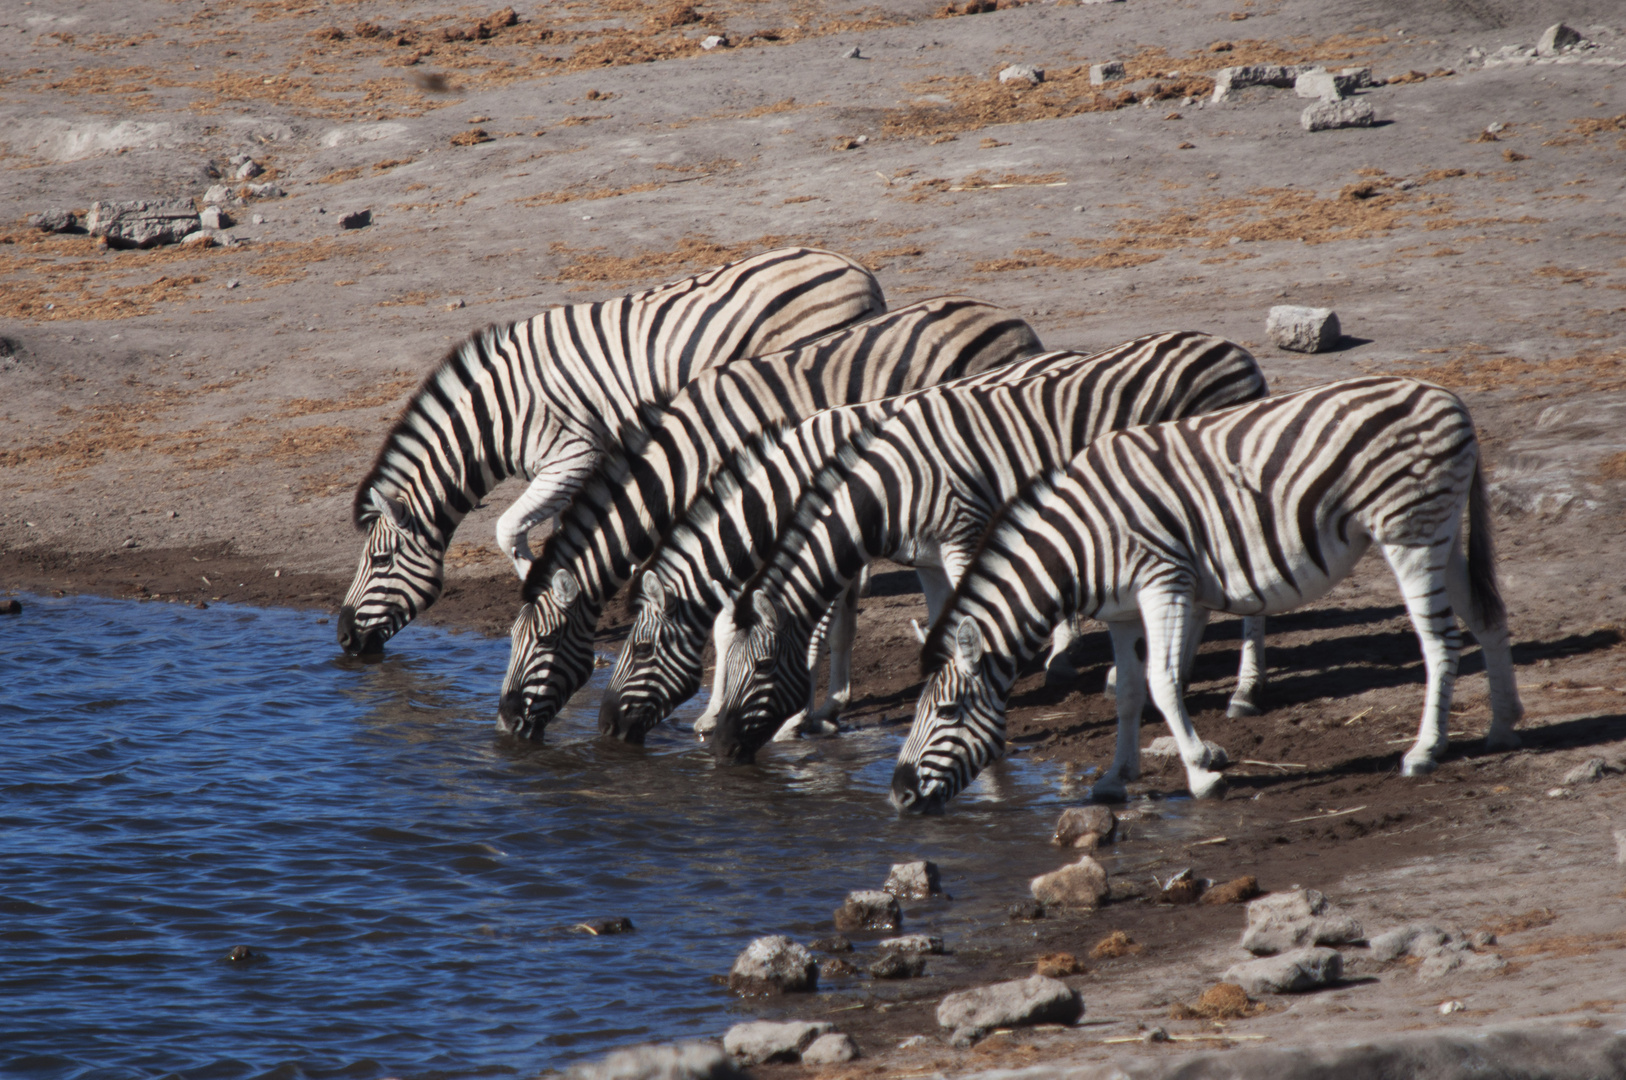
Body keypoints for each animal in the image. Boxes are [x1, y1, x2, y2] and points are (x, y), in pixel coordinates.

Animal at [334, 247, 884, 657]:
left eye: (379, 561)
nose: (342, 638)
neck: (498, 414)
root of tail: (857, 270)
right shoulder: (588, 464)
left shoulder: (573, 454)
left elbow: (507, 529)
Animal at [487, 299, 1040, 738]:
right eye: (510, 641)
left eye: (544, 640)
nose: (507, 723)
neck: (693, 455)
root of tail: (1007, 316)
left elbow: (737, 625)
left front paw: (757, 714)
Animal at [598, 331, 1268, 751]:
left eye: (643, 650)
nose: (606, 728)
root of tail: (1236, 351)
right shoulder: (898, 551)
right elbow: (875, 622)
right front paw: (828, 708)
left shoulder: (946, 535)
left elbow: (825, 628)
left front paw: (801, 716)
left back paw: (1242, 692)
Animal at [891, 377, 1521, 810]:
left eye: (945, 712)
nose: (897, 795)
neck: (1079, 544)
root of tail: (1449, 397)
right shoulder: (1122, 612)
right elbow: (1127, 694)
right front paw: (1115, 779)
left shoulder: (1164, 582)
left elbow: (1164, 682)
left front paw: (1200, 771)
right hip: (1439, 532)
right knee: (1488, 619)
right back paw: (1502, 726)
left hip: (1409, 533)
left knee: (1440, 643)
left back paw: (1425, 751)